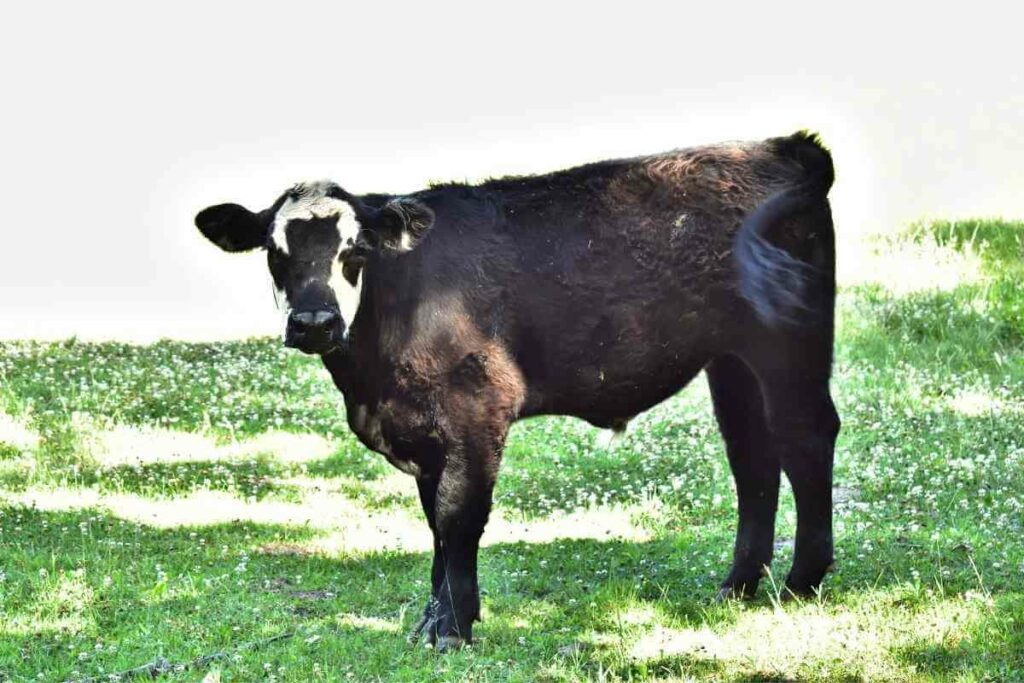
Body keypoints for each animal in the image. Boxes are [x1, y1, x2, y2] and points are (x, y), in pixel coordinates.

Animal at [194, 131, 840, 650]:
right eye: (274, 252)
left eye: (355, 250)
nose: (314, 323)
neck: (370, 377)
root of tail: (782, 145)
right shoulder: (426, 432)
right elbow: (435, 525)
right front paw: (437, 619)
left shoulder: (477, 411)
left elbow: (458, 520)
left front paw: (453, 628)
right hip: (731, 362)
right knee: (753, 456)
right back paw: (739, 585)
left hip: (789, 342)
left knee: (806, 439)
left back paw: (801, 581)